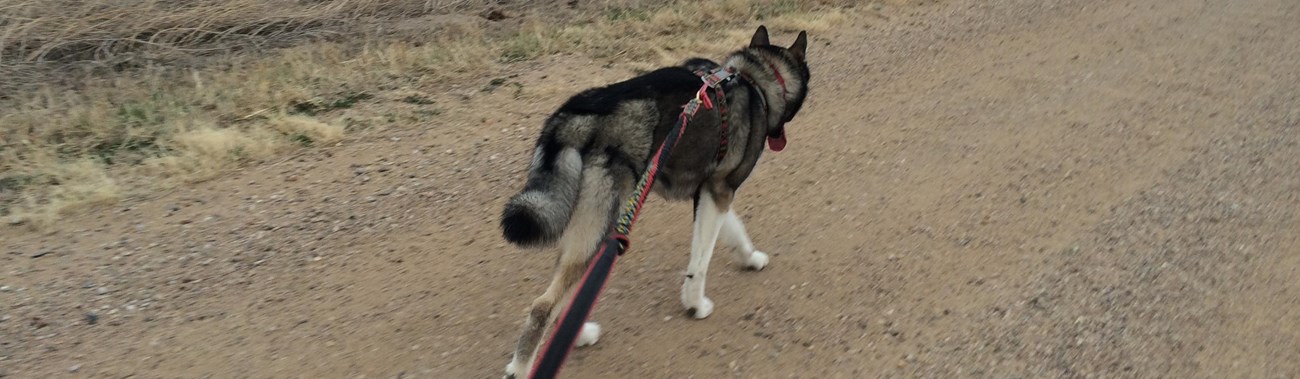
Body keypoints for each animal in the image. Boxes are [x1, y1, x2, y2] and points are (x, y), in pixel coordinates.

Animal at [501, 25, 806, 376]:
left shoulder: (710, 192)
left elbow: (733, 233)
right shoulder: (720, 190)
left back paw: (577, 333)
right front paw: (696, 305)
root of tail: (573, 119)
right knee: (543, 305)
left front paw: (749, 258)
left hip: (586, 230)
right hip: (602, 225)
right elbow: (700, 263)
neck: (753, 78)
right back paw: (525, 365)